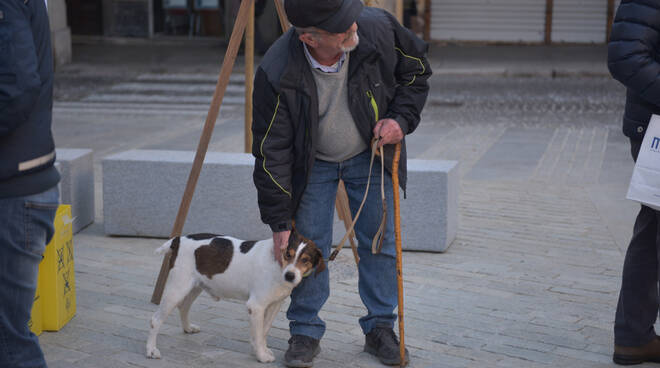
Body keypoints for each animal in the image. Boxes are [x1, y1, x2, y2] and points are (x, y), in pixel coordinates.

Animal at [148, 230, 326, 362]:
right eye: (288, 255)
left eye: (305, 260)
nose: (290, 276)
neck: (277, 265)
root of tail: (178, 239)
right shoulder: (256, 306)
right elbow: (258, 333)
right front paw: (261, 356)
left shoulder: (274, 305)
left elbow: (263, 331)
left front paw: (259, 349)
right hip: (177, 289)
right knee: (155, 320)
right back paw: (151, 350)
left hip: (195, 286)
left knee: (183, 306)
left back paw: (187, 328)